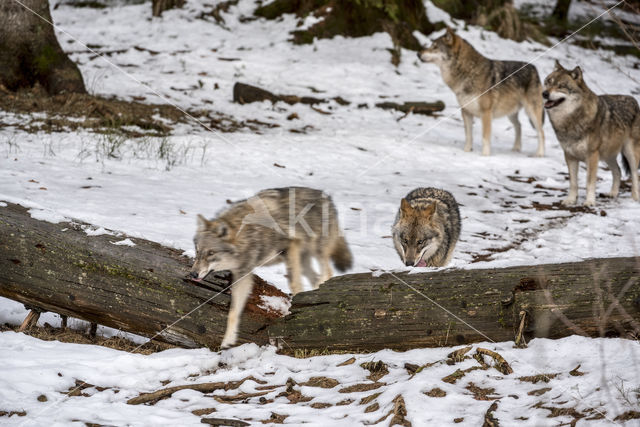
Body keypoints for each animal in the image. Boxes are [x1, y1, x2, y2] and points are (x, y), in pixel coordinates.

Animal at [190, 186, 352, 348]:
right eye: (197, 251)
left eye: (211, 253)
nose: (193, 274)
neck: (248, 234)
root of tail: (326, 196)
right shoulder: (243, 275)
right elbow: (233, 313)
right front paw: (227, 341)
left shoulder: (290, 247)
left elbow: (295, 284)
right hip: (304, 261)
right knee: (316, 278)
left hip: (315, 251)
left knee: (327, 272)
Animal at [420, 28, 544, 159]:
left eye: (434, 47)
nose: (418, 53)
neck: (468, 72)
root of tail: (534, 68)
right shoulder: (466, 112)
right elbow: (468, 136)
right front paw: (466, 151)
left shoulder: (486, 113)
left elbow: (485, 137)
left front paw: (485, 156)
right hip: (511, 114)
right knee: (519, 126)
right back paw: (516, 148)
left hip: (531, 112)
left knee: (541, 133)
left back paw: (539, 154)